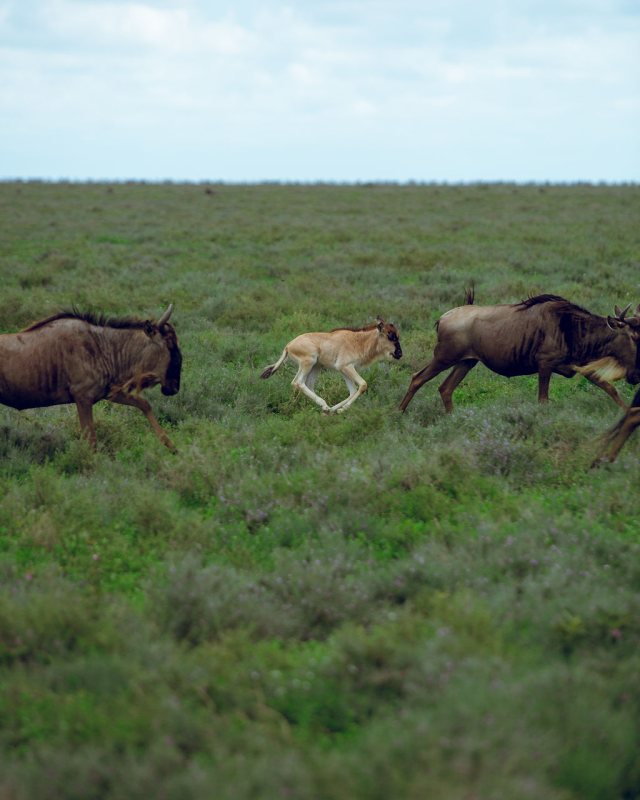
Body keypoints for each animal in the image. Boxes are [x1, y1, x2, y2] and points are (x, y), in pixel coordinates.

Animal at [260, 318, 402, 413]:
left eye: (397, 335)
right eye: (390, 335)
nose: (400, 354)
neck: (358, 341)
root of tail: (288, 346)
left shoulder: (344, 370)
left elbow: (352, 391)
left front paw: (335, 410)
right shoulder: (346, 367)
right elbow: (363, 385)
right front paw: (341, 409)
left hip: (315, 367)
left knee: (308, 384)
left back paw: (326, 408)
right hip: (308, 362)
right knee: (298, 382)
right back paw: (324, 405)